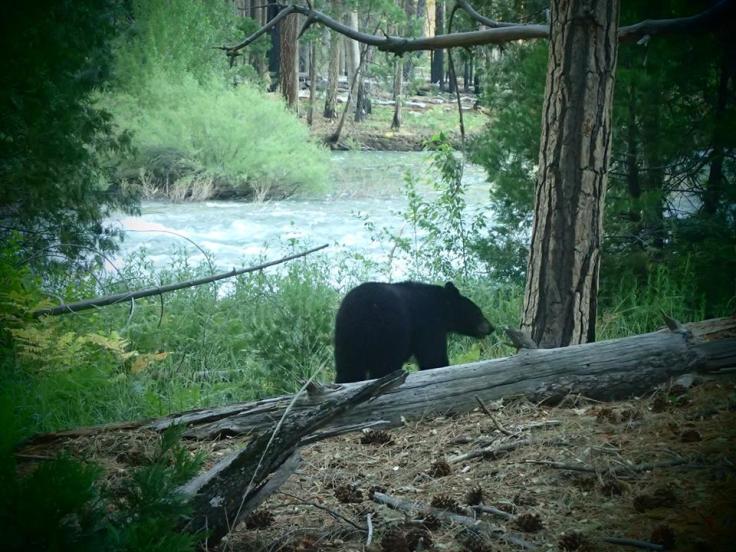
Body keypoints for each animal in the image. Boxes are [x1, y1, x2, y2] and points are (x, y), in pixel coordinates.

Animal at [334, 281, 494, 383]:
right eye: (478, 311)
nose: (491, 327)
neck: (441, 306)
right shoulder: (428, 323)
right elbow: (432, 356)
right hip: (388, 333)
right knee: (384, 365)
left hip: (346, 339)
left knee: (348, 369)